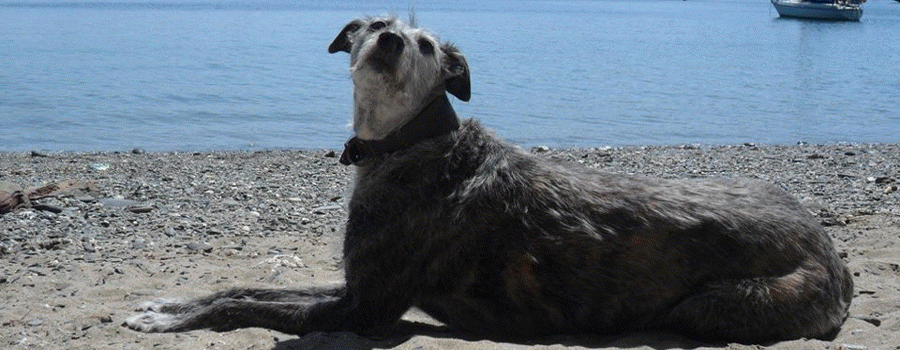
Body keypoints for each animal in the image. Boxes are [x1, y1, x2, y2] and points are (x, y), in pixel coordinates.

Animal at [123, 15, 856, 344]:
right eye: (377, 24)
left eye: (426, 45)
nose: (390, 41)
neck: (414, 143)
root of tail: (830, 251)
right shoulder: (356, 283)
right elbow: (241, 285)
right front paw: (165, 305)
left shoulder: (368, 307)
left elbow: (242, 304)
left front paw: (171, 318)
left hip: (718, 305)